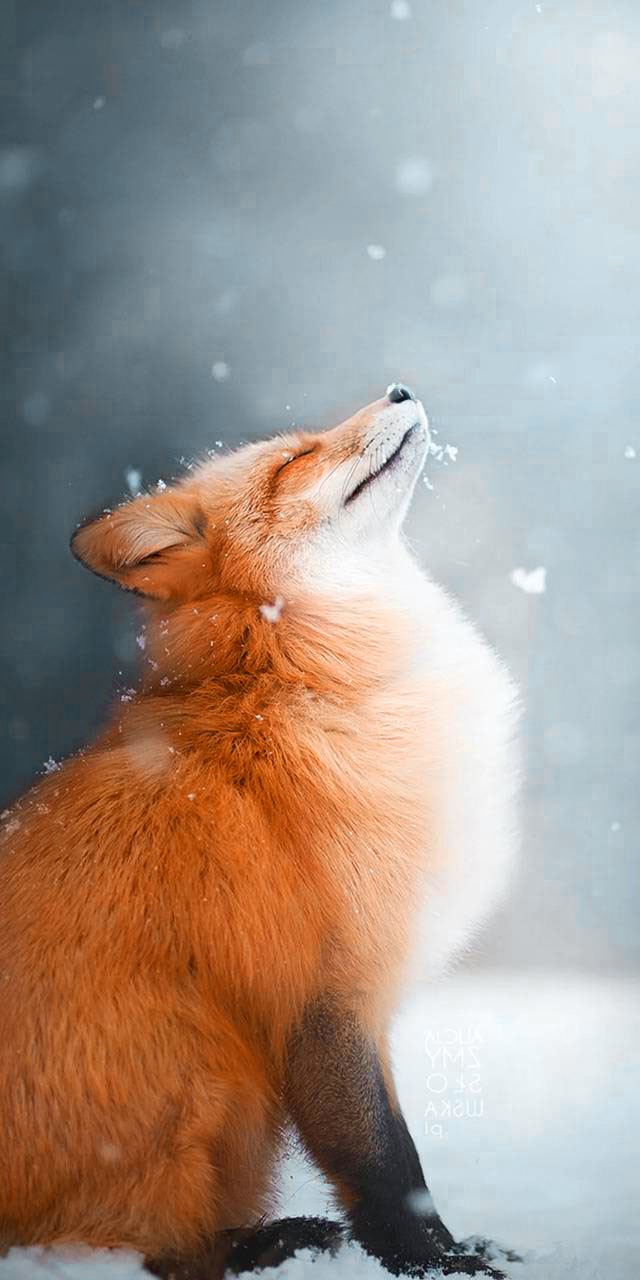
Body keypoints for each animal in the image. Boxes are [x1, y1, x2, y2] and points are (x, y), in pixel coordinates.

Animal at [0, 384, 519, 1279]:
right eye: (294, 459)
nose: (399, 389)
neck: (292, 673)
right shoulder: (326, 995)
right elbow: (389, 1165)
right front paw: (436, 1263)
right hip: (208, 1062)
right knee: (154, 1255)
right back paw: (271, 1242)